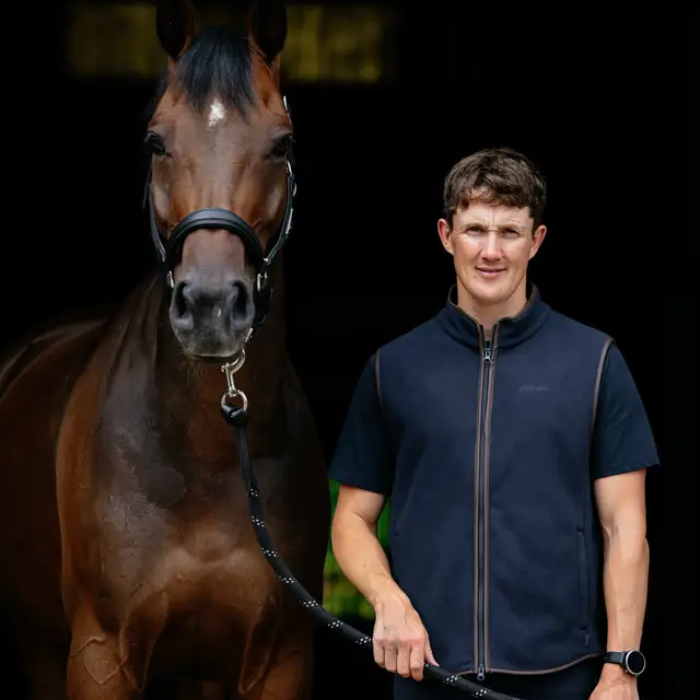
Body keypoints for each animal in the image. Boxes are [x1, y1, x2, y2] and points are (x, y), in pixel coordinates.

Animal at [0, 1, 330, 697]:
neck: (206, 458)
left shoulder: (281, 660)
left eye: (282, 144)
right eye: (156, 141)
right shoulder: (98, 654)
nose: (210, 307)